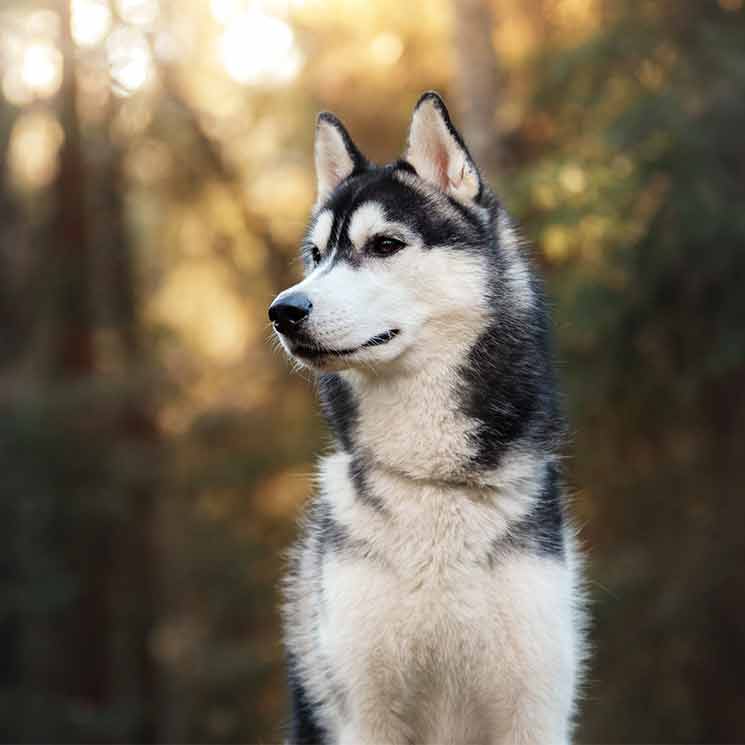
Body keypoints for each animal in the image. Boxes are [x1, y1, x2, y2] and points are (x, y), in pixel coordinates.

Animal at [268, 93, 588, 744]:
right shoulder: (366, 713)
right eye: (315, 256)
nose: (283, 310)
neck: (434, 483)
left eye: (385, 244)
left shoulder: (534, 710)